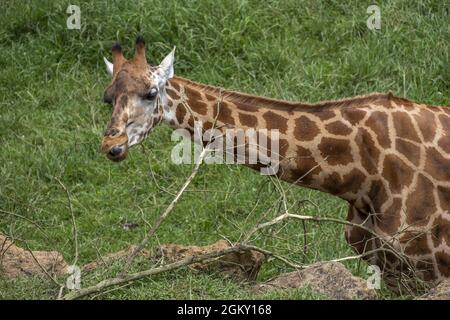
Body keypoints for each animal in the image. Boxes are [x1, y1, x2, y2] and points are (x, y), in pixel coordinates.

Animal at [101, 37, 450, 292]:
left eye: (150, 93)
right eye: (108, 97)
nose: (111, 146)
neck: (362, 174)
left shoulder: (429, 267)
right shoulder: (388, 267)